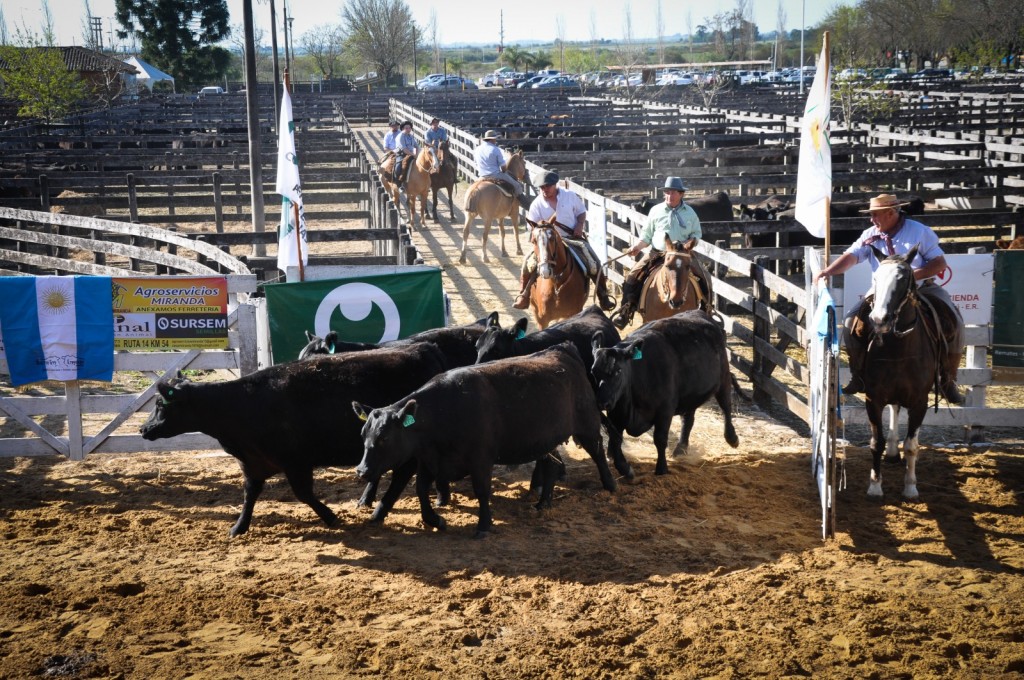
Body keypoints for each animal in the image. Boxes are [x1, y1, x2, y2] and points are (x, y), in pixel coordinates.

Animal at [139, 346, 448, 536]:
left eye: (161, 405)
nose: (143, 429)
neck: (243, 405)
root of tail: (424, 349)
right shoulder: (253, 463)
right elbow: (249, 494)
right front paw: (238, 527)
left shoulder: (296, 462)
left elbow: (303, 494)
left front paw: (331, 517)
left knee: (403, 474)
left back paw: (382, 510)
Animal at [354, 346, 614, 536]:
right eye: (364, 435)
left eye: (384, 437)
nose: (362, 470)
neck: (444, 411)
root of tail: (563, 350)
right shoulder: (430, 459)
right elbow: (421, 490)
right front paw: (436, 520)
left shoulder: (480, 459)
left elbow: (481, 490)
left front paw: (483, 526)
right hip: (544, 441)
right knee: (552, 465)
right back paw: (543, 503)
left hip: (588, 425)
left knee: (599, 454)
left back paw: (610, 487)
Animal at [589, 311, 741, 475]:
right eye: (593, 372)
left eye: (618, 371)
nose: (602, 402)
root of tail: (701, 313)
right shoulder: (616, 414)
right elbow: (615, 438)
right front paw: (621, 465)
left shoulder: (665, 411)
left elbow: (660, 439)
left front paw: (661, 468)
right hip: (689, 394)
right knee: (688, 419)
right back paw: (681, 448)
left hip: (723, 379)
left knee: (726, 406)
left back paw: (732, 438)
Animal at [856, 244, 942, 499]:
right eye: (875, 278)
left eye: (903, 279)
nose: (878, 319)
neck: (899, 350)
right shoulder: (873, 399)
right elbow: (877, 442)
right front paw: (875, 486)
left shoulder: (920, 402)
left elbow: (912, 445)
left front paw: (911, 487)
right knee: (894, 408)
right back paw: (893, 452)